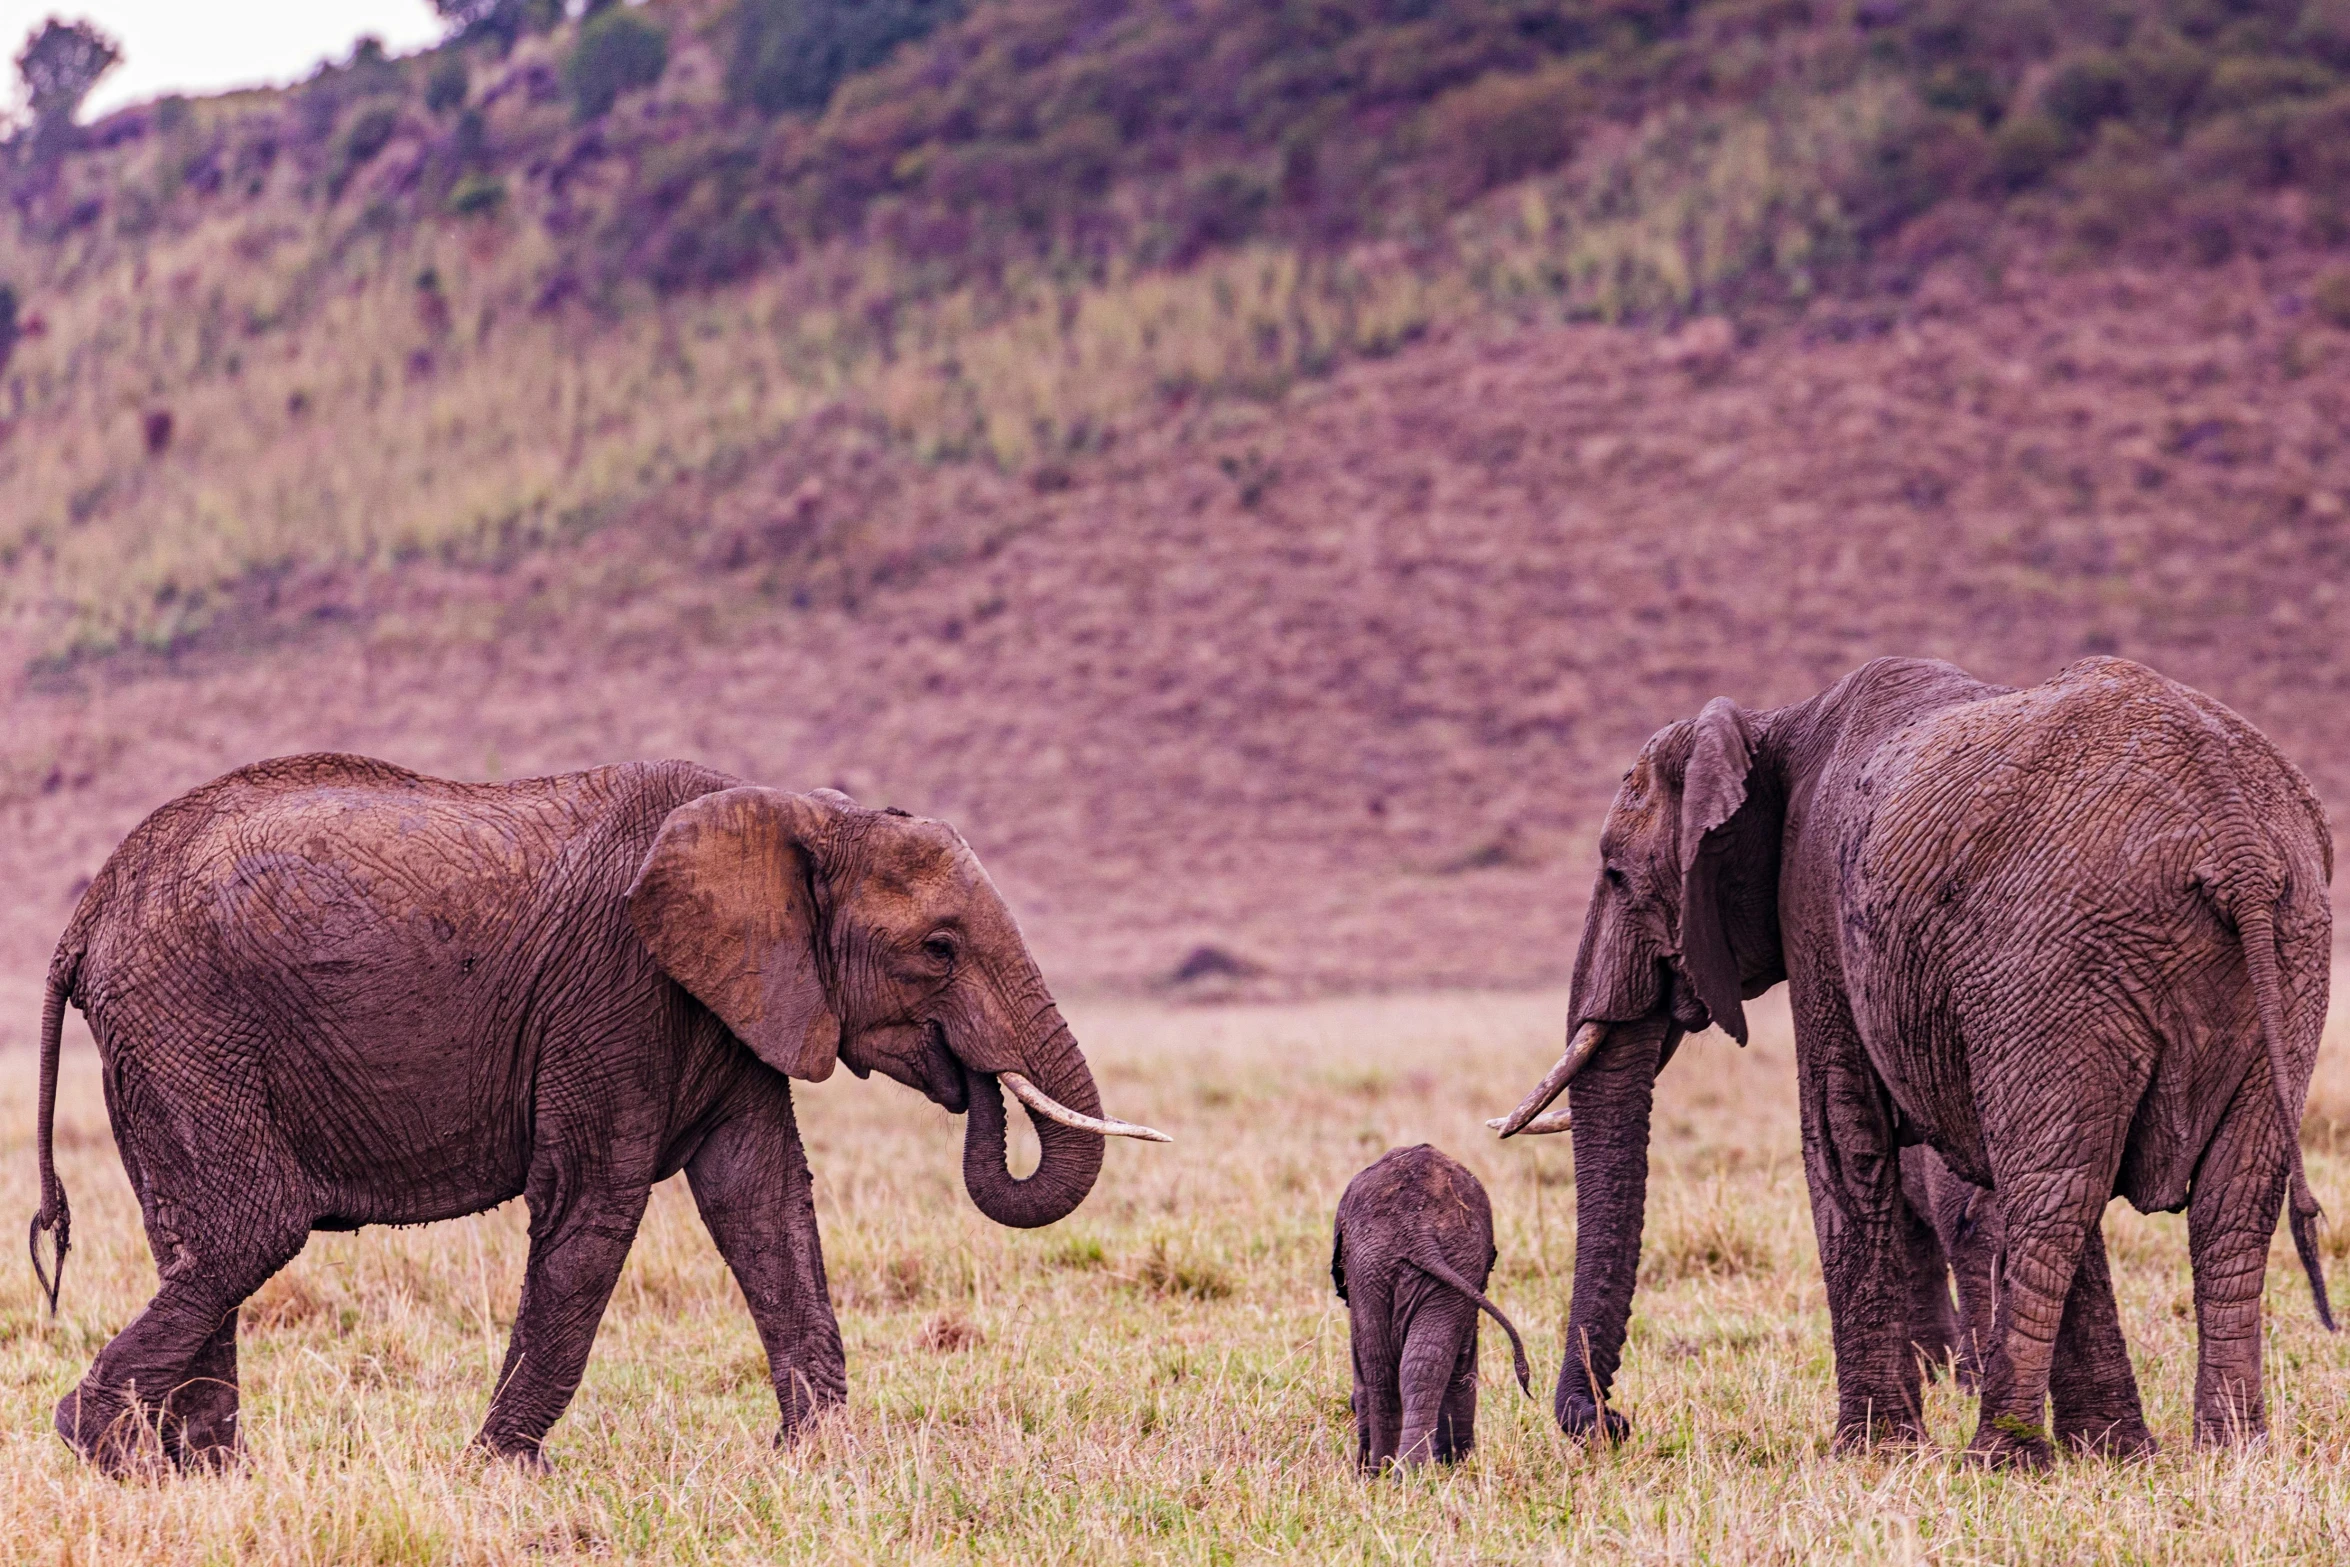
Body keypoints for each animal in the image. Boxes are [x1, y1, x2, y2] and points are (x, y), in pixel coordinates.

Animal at [27, 751, 1165, 1475]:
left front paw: (823, 1461)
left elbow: (762, 1203)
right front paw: (498, 1476)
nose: (975, 1080)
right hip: (186, 1019)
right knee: (248, 1229)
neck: (792, 811)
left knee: (197, 1237)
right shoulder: (616, 992)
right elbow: (593, 1207)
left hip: (167, 1037)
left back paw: (207, 1476)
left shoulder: (729, 997)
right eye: (938, 948)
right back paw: (107, 1450)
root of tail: (89, 911)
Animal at [1334, 1141, 1532, 1475]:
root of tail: (1418, 1231)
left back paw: (1386, 1471)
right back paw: (1405, 1471)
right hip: (1441, 1259)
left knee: (1384, 1369)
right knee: (1412, 1365)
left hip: (1376, 1265)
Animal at [1504, 657, 2331, 1465]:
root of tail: (2237, 844)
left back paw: (2001, 1455)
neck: (1775, 726)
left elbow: (1842, 1130)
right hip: (2288, 948)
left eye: (1616, 874)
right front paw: (2115, 1454)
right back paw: (2232, 1451)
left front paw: (1874, 1454)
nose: (1611, 1422)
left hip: (2057, 956)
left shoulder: (1816, 904)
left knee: (2055, 1196)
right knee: (2227, 1202)